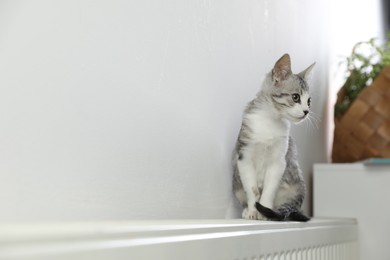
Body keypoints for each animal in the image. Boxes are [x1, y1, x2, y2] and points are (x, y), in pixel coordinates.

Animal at [232, 53, 314, 221]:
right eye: (295, 97)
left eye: (309, 101)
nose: (306, 111)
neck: (270, 119)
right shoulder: (244, 157)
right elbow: (253, 190)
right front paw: (252, 211)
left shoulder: (279, 161)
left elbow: (268, 191)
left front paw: (264, 212)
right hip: (236, 183)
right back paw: (246, 211)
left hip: (297, 184)